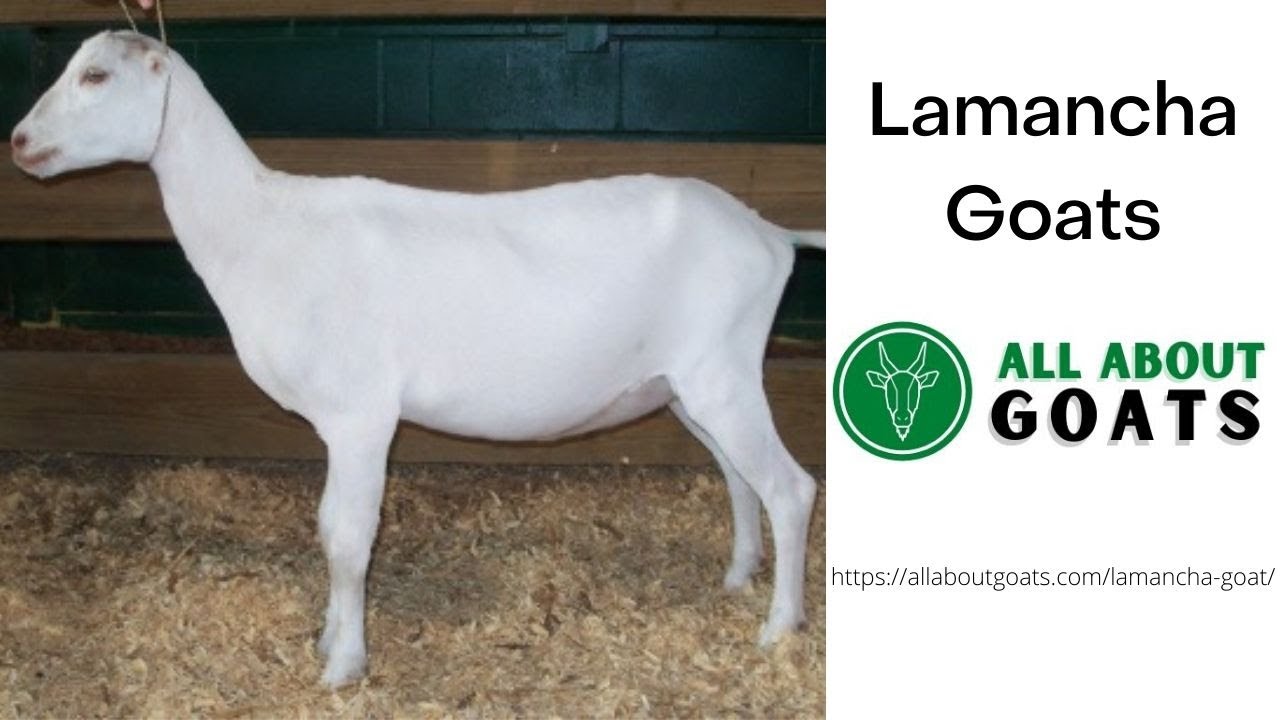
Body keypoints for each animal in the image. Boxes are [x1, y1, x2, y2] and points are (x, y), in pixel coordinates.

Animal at [11, 31, 822, 687]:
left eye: (95, 76)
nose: (18, 142)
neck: (262, 226)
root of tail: (769, 232)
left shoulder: (361, 414)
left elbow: (347, 537)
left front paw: (343, 666)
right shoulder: (338, 424)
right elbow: (327, 528)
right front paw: (329, 641)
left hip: (723, 373)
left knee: (789, 487)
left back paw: (778, 627)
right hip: (686, 384)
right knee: (737, 477)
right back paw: (737, 576)